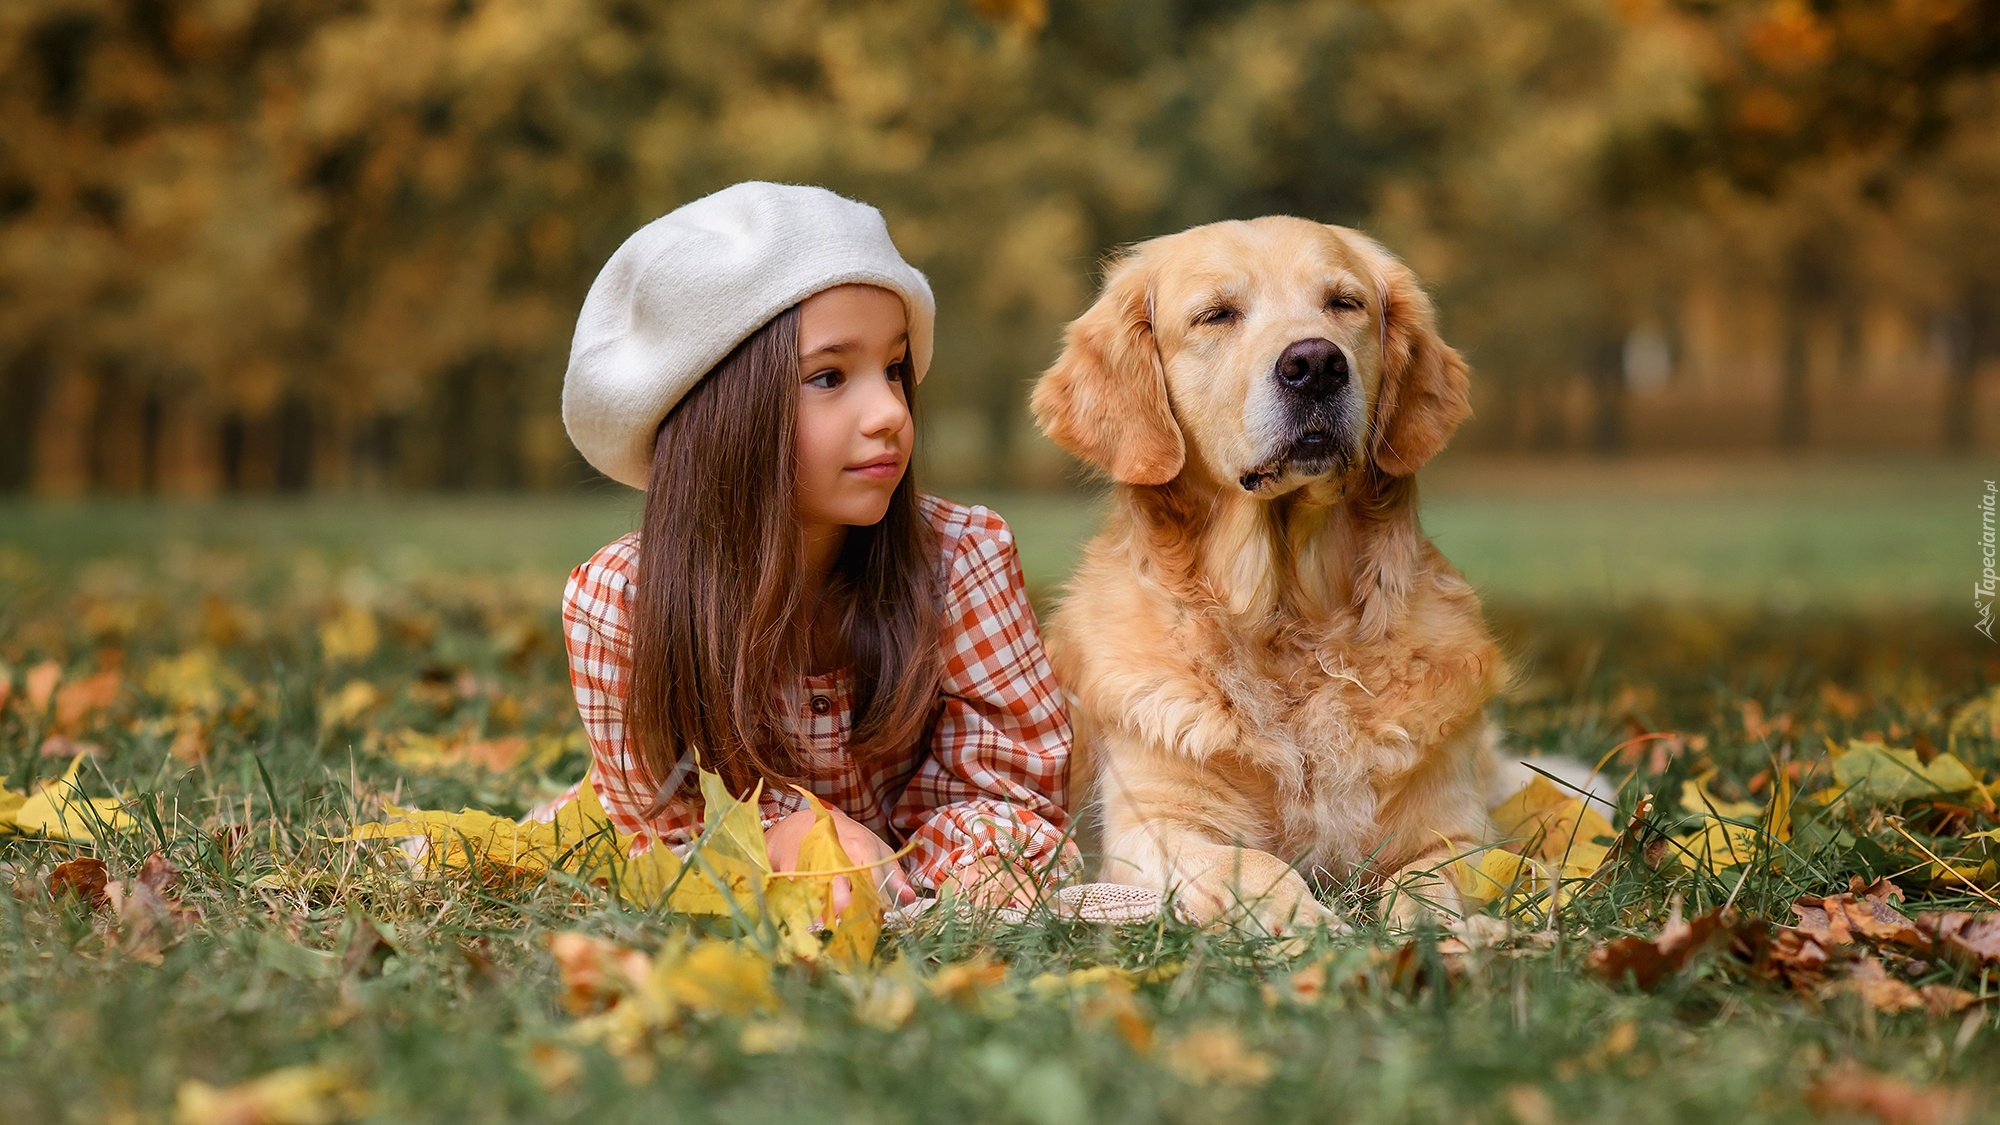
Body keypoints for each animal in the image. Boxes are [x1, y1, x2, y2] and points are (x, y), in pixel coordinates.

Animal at [1032, 212, 1512, 928]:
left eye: (1344, 303)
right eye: (1216, 315)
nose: (1315, 364)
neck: (1288, 621)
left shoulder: (1457, 832)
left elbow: (1425, 884)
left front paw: (1436, 934)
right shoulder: (1155, 827)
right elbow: (1255, 865)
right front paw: (1314, 928)